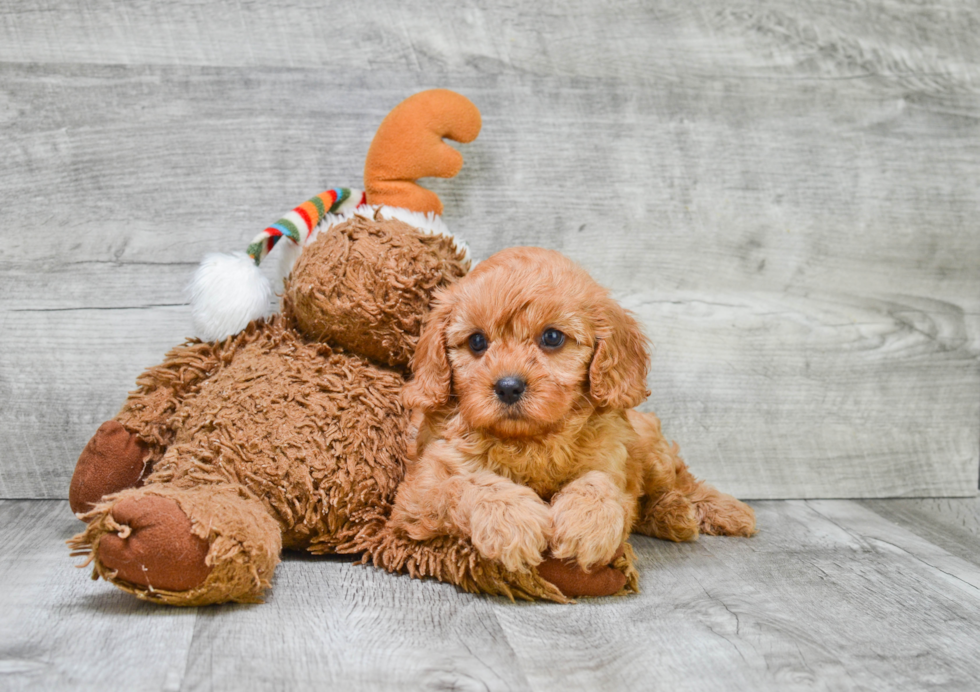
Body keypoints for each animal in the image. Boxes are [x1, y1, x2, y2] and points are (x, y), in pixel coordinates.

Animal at [392, 247, 756, 572]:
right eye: (477, 342)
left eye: (552, 337)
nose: (508, 386)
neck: (530, 440)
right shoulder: (421, 487)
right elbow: (468, 484)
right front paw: (512, 519)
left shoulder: (611, 455)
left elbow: (598, 483)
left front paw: (586, 524)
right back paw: (674, 516)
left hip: (652, 453)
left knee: (681, 480)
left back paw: (715, 511)